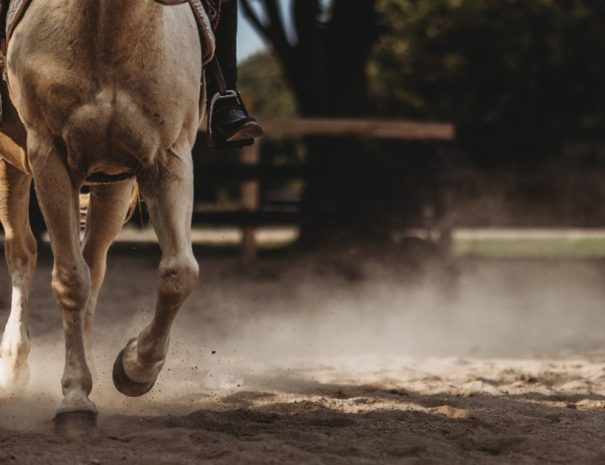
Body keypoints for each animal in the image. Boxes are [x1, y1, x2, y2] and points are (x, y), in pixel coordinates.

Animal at [0, 0, 205, 430]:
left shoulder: (169, 157)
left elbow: (179, 273)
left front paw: (135, 368)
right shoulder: (49, 158)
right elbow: (69, 280)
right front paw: (75, 398)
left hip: (113, 186)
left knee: (93, 264)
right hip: (11, 165)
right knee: (22, 252)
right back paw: (13, 366)